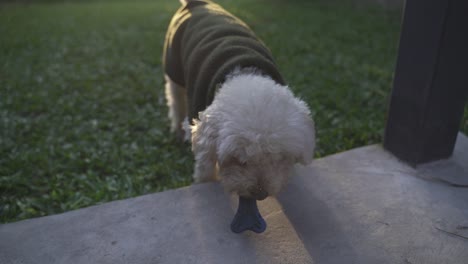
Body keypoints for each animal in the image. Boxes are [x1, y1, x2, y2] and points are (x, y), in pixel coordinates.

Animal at [164, 0, 314, 200]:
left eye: (279, 158)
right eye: (238, 160)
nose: (260, 194)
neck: (243, 74)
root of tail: (196, 4)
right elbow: (204, 164)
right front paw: (205, 182)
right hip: (173, 66)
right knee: (176, 100)